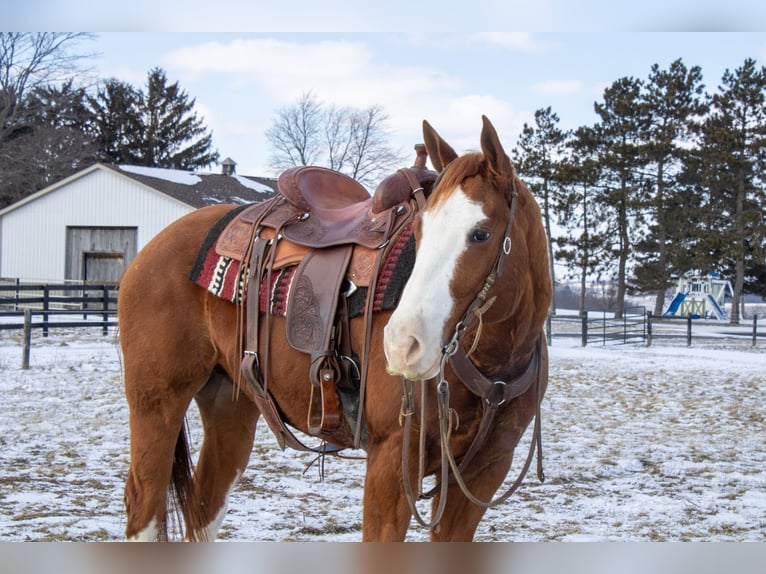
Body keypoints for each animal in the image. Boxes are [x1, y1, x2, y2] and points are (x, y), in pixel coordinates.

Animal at [118, 117, 552, 544]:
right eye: (419, 231)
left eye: (480, 233)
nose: (402, 345)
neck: (491, 362)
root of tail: (155, 246)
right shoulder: (391, 465)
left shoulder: (482, 474)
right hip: (156, 403)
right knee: (144, 506)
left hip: (230, 403)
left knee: (204, 509)